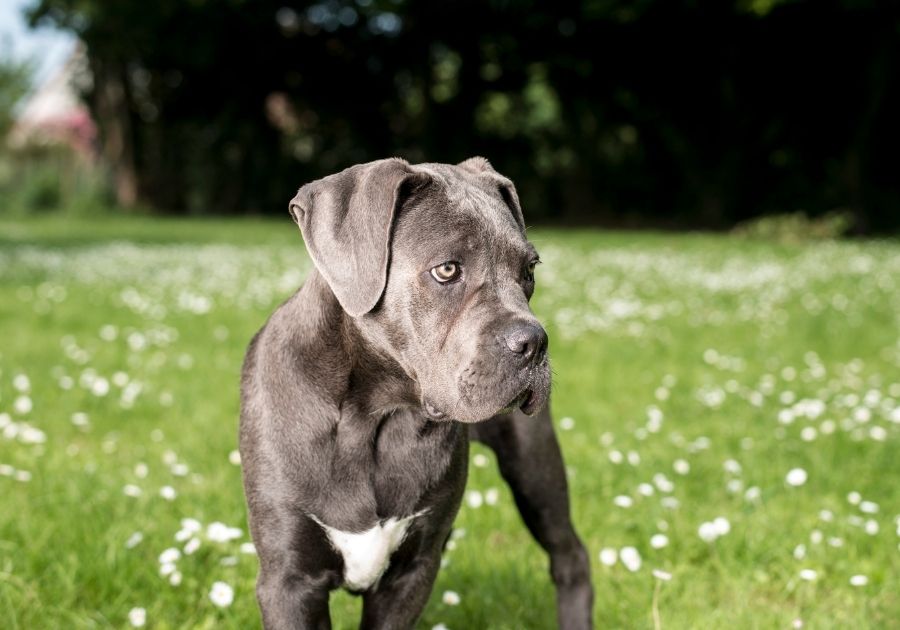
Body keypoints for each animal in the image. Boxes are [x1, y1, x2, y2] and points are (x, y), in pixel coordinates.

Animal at [239, 156, 596, 628]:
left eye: (529, 272)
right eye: (447, 269)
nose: (534, 342)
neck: (371, 416)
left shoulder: (411, 572)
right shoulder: (289, 579)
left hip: (535, 465)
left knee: (570, 555)